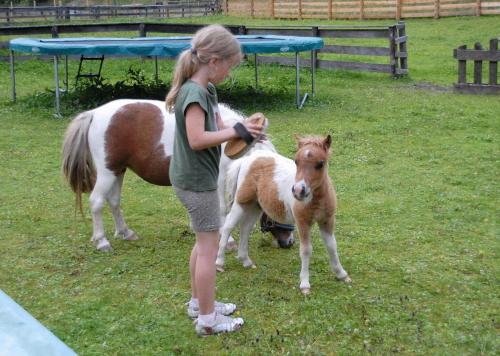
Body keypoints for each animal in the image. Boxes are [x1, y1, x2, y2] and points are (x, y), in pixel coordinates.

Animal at [61, 98, 292, 252]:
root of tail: (93, 113)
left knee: (114, 201)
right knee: (97, 202)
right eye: (280, 202)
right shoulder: (217, 182)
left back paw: (125, 232)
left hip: (118, 170)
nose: (288, 242)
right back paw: (101, 241)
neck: (227, 140)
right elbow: (221, 210)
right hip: (107, 173)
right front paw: (227, 241)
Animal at [216, 135, 352, 294]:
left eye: (320, 164)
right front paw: (305, 285)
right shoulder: (302, 222)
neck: (316, 198)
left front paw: (341, 274)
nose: (298, 191)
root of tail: (248, 158)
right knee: (228, 226)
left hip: (256, 206)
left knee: (245, 228)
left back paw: (246, 261)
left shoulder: (327, 220)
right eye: (296, 161)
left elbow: (332, 245)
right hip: (241, 202)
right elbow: (306, 250)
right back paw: (219, 262)